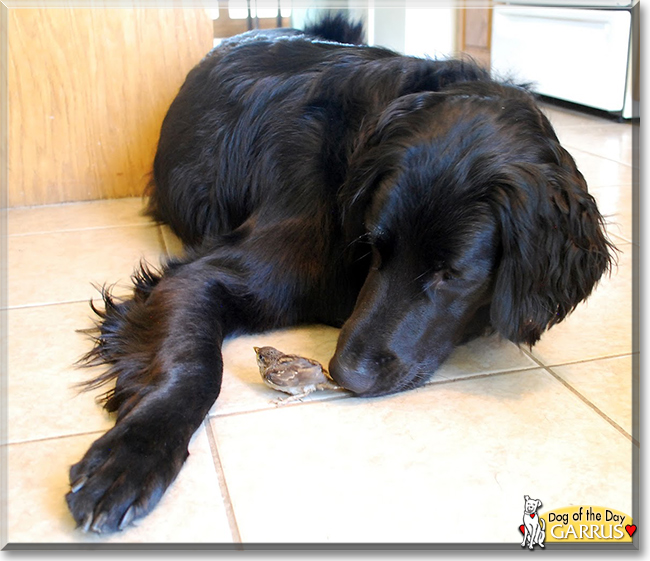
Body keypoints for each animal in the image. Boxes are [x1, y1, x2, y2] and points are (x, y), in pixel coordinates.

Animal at [67, 12, 612, 528]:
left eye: (451, 274)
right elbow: (194, 363)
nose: (346, 373)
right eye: (373, 243)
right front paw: (134, 453)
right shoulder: (202, 276)